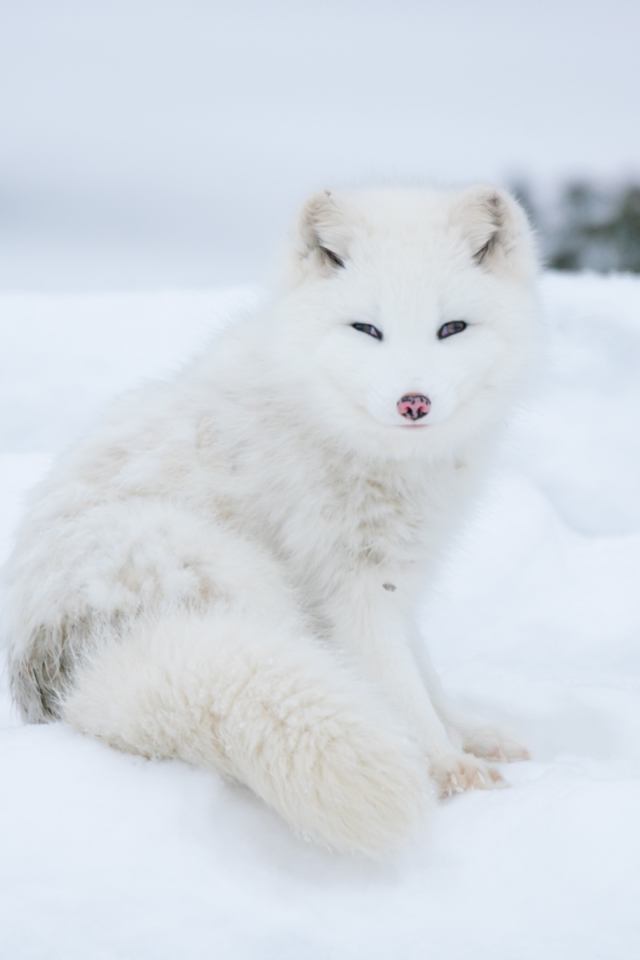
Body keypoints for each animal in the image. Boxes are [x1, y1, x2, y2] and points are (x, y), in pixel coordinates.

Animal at [3, 188, 540, 856]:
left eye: (452, 328)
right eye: (368, 329)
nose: (413, 403)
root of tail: (69, 674)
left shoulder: (396, 578)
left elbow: (427, 679)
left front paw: (470, 737)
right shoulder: (354, 589)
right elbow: (404, 691)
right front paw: (450, 770)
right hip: (243, 579)